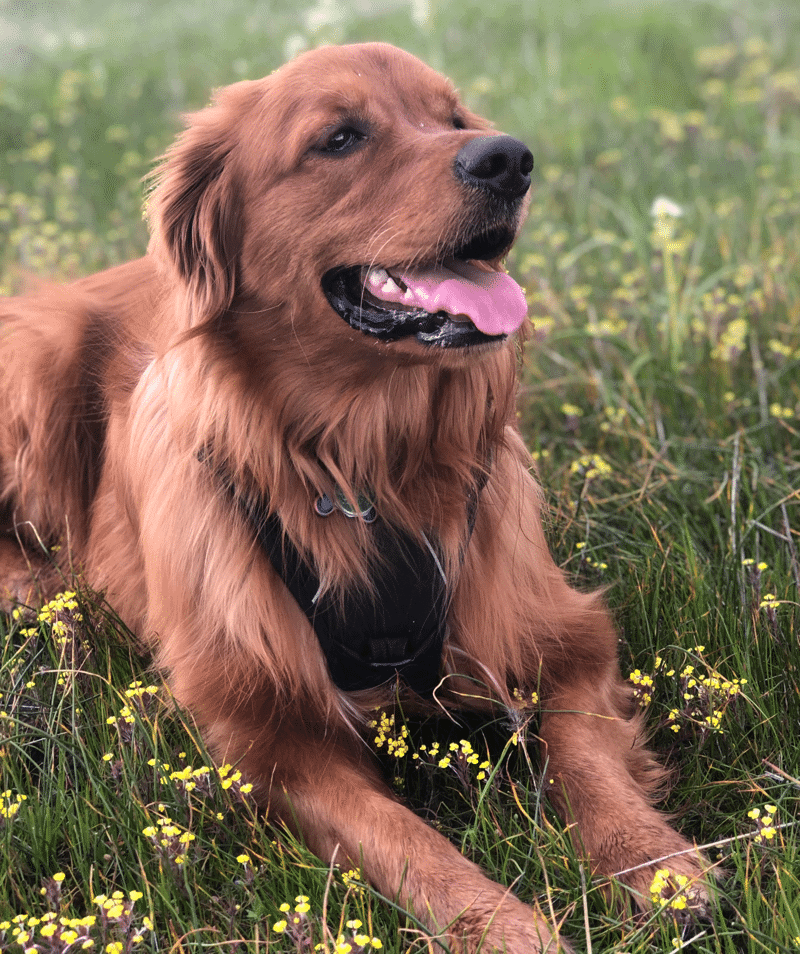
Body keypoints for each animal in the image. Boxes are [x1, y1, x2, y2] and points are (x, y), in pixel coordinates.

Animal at [1, 44, 712, 952]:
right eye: (340, 137)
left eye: (453, 119)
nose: (510, 159)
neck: (366, 462)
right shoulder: (269, 736)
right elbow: (406, 839)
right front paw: (506, 926)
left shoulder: (560, 634)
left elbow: (586, 758)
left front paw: (656, 863)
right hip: (38, 361)